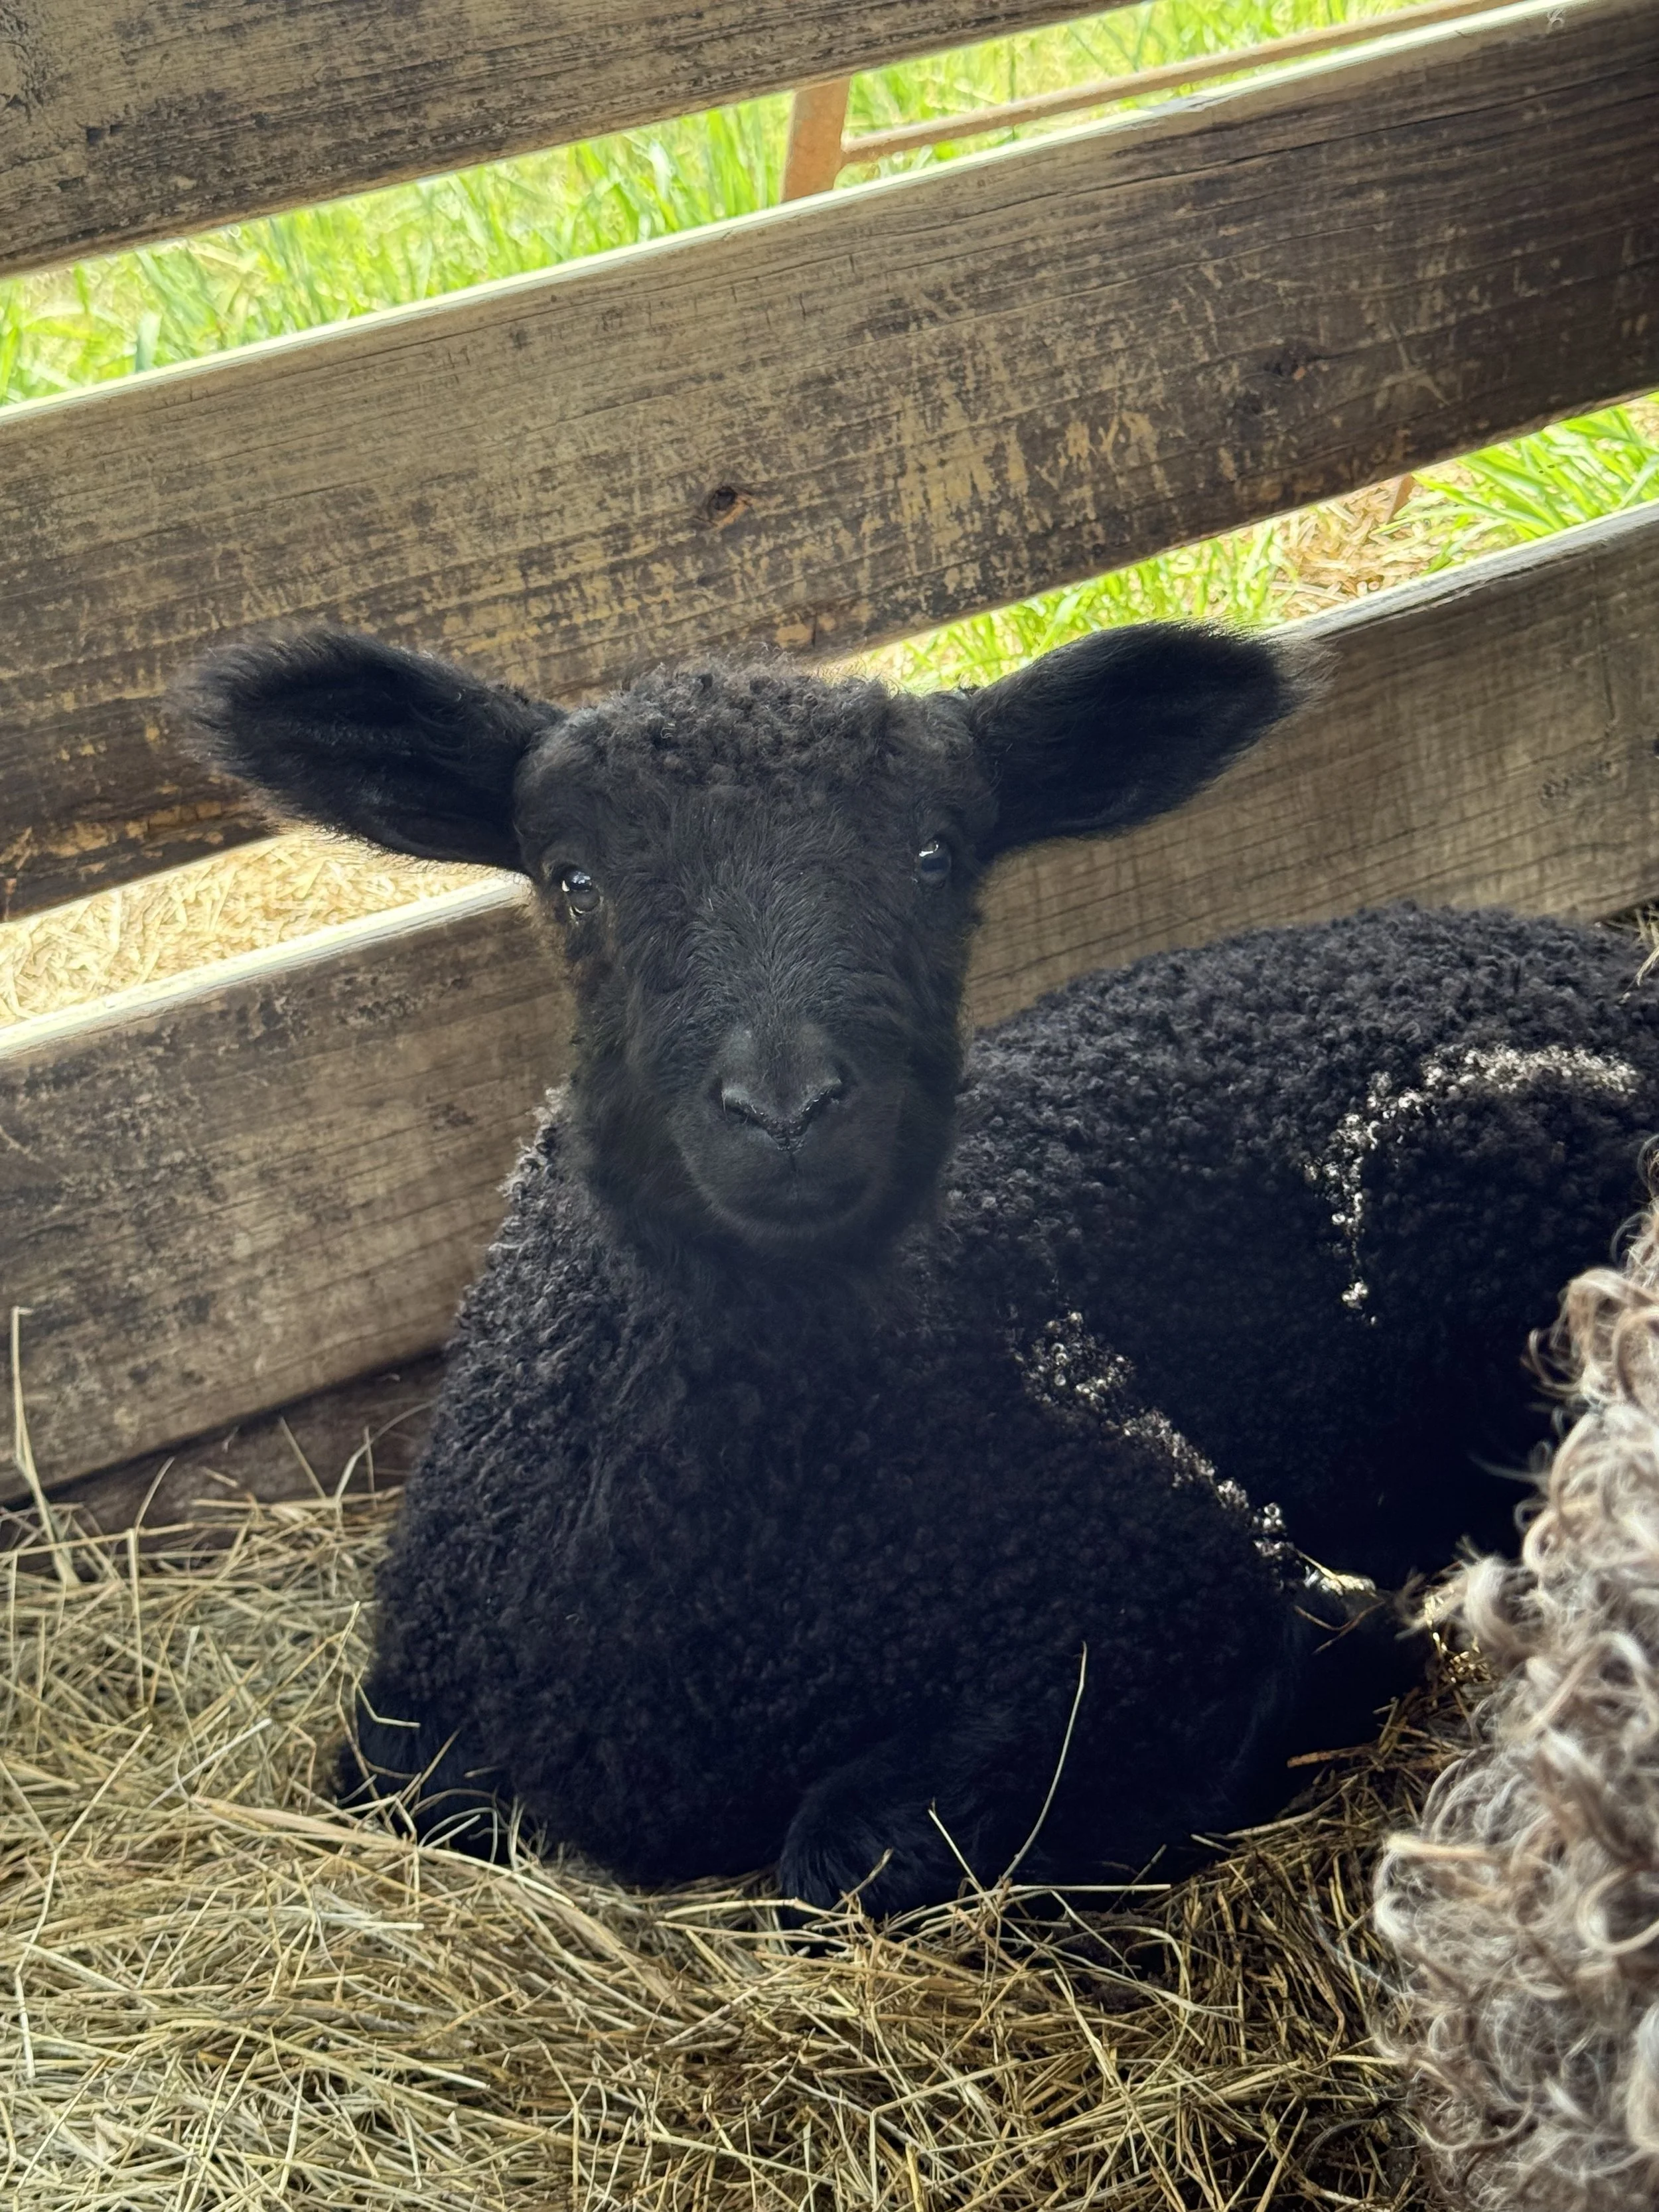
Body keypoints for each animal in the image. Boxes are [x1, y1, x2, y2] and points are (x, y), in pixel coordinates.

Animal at [175, 620, 1659, 1911]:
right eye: (571, 876)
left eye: (941, 856)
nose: (784, 1107)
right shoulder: (419, 1720)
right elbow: (416, 1791)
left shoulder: (1165, 1581)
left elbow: (847, 1853)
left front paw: (1329, 1670)